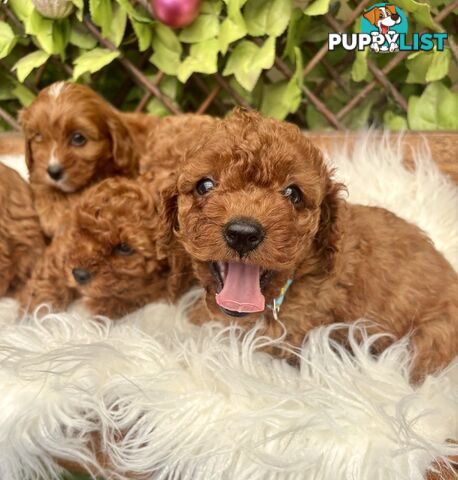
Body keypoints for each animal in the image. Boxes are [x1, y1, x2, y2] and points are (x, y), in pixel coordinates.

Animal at [20, 173, 193, 318]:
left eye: (124, 248)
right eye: (82, 231)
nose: (79, 274)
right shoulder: (62, 248)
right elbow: (48, 277)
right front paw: (36, 311)